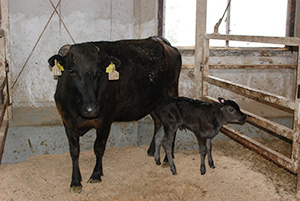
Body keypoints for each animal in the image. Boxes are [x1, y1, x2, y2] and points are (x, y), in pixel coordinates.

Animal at [48, 36, 182, 192]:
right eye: (71, 70)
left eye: (99, 72)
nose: (91, 109)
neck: (78, 112)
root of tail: (161, 41)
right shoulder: (67, 121)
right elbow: (74, 151)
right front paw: (75, 181)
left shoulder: (104, 120)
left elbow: (99, 147)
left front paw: (96, 174)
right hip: (154, 102)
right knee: (158, 122)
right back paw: (151, 151)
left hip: (171, 92)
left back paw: (167, 158)